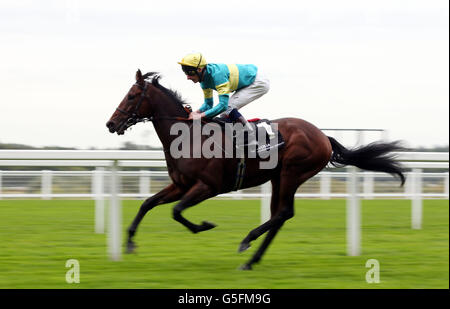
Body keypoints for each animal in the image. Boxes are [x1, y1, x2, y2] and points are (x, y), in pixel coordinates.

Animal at [104, 70, 404, 270]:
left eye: (132, 96)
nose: (110, 124)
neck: (188, 136)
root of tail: (323, 136)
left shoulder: (207, 187)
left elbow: (177, 212)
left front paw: (204, 225)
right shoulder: (180, 185)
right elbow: (147, 203)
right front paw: (129, 243)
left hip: (292, 172)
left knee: (284, 212)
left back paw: (247, 241)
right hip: (277, 178)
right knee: (279, 216)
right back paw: (251, 260)